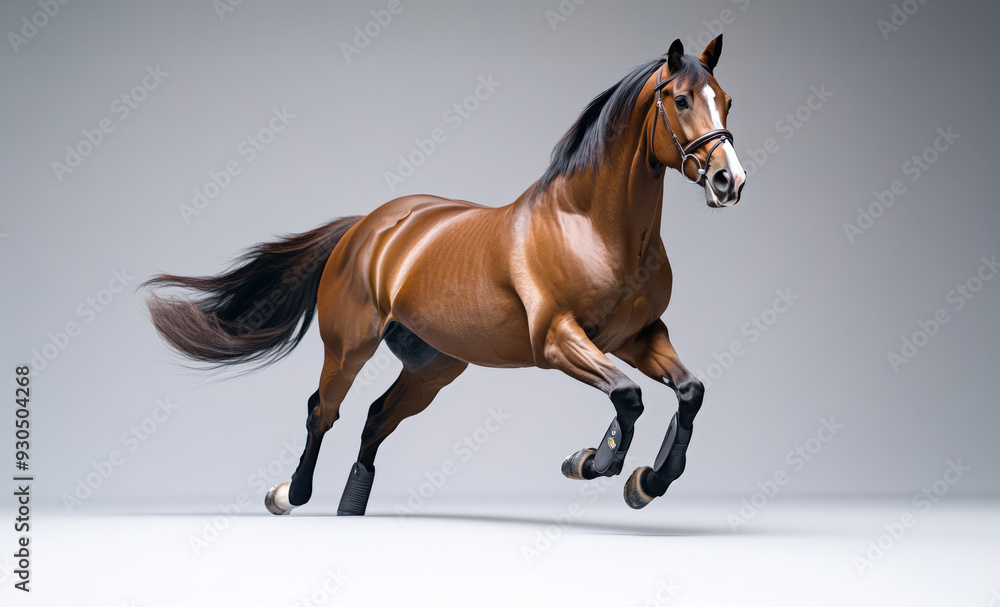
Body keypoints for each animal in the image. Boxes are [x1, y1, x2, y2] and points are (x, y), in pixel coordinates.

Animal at [143, 36, 746, 516]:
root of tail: (364, 228)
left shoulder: (639, 336)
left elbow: (689, 392)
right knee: (324, 411)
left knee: (375, 418)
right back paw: (289, 495)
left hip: (434, 365)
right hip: (349, 348)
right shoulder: (557, 339)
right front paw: (588, 462)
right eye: (681, 99)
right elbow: (628, 396)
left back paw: (350, 508)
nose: (729, 181)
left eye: (727, 100)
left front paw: (647, 482)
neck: (594, 227)